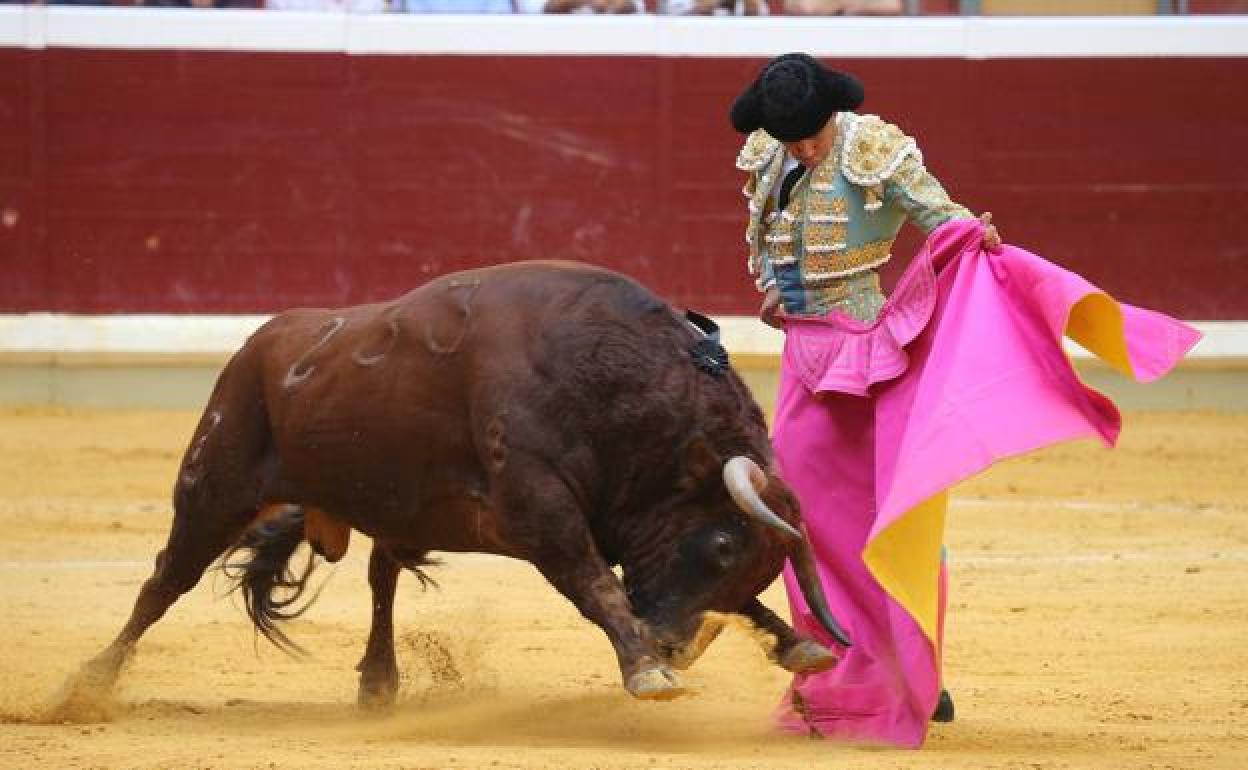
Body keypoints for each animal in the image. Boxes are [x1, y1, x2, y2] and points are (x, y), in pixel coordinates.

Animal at [63, 260, 853, 703]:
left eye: (753, 563)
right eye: (719, 545)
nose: (674, 648)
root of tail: (261, 341)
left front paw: (797, 643)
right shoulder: (542, 511)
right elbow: (597, 587)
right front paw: (646, 675)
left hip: (391, 504)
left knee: (381, 576)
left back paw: (379, 683)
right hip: (213, 483)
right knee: (163, 582)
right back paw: (88, 684)